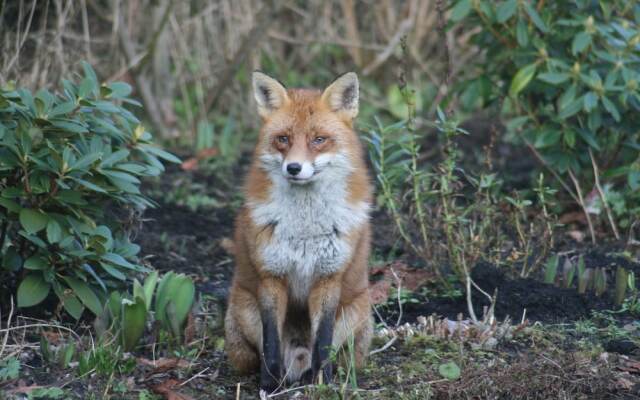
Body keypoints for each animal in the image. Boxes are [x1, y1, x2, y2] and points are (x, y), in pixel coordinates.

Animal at [225, 70, 376, 392]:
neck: (305, 229)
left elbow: (323, 341)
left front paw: (323, 382)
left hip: (355, 314)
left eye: (319, 140)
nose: (294, 168)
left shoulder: (328, 277)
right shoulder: (271, 277)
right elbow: (270, 341)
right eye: (283, 139)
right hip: (244, 312)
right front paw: (269, 384)